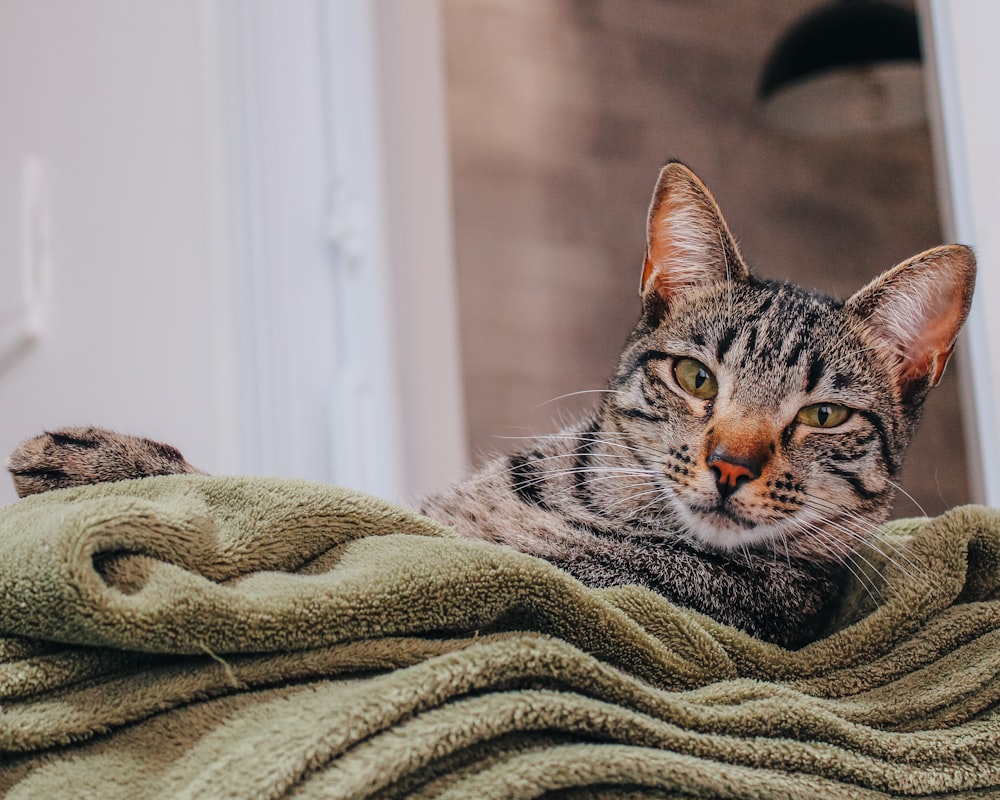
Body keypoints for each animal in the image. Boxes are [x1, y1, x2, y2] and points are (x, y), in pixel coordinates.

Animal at [9, 162, 976, 648]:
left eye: (824, 417)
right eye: (698, 379)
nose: (731, 465)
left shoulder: (488, 561)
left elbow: (305, 504)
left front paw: (115, 464)